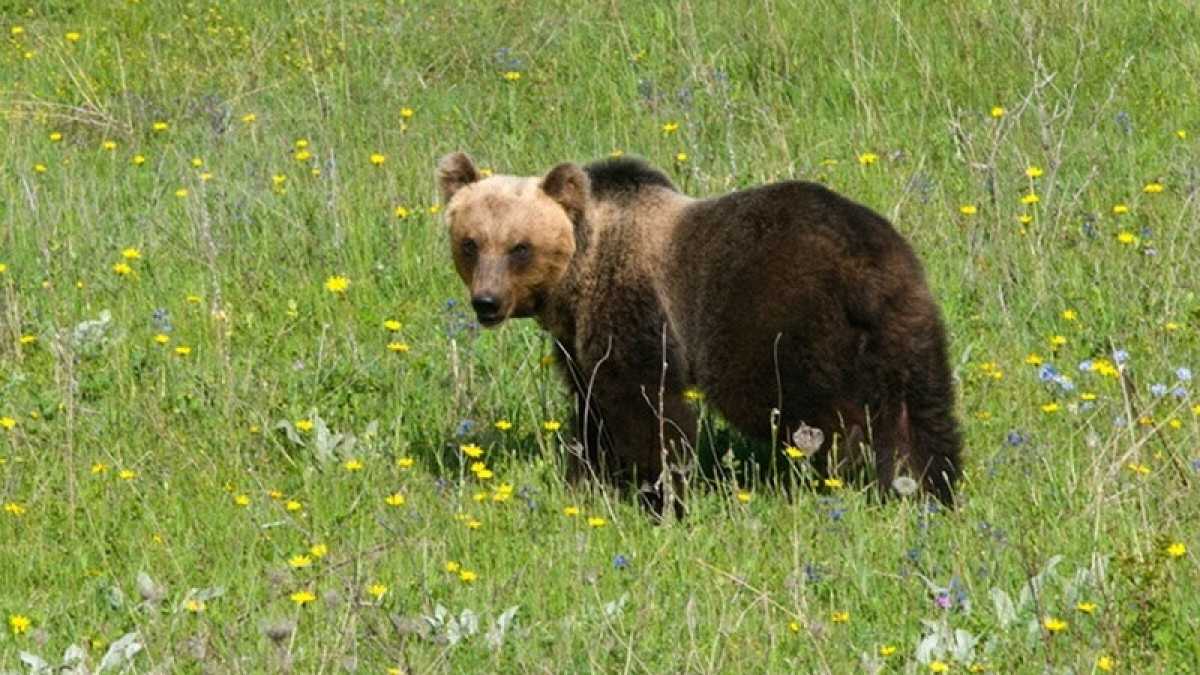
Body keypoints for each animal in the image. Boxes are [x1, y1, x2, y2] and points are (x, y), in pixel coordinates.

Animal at [437, 152, 962, 510]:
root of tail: (867, 267)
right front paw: (587, 479)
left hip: (777, 321)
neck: (579, 275)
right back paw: (928, 486)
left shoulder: (635, 309)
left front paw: (659, 493)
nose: (487, 302)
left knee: (818, 409)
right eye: (471, 243)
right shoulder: (578, 343)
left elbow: (647, 406)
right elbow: (590, 409)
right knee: (921, 410)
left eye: (520, 247)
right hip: (906, 318)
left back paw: (846, 474)